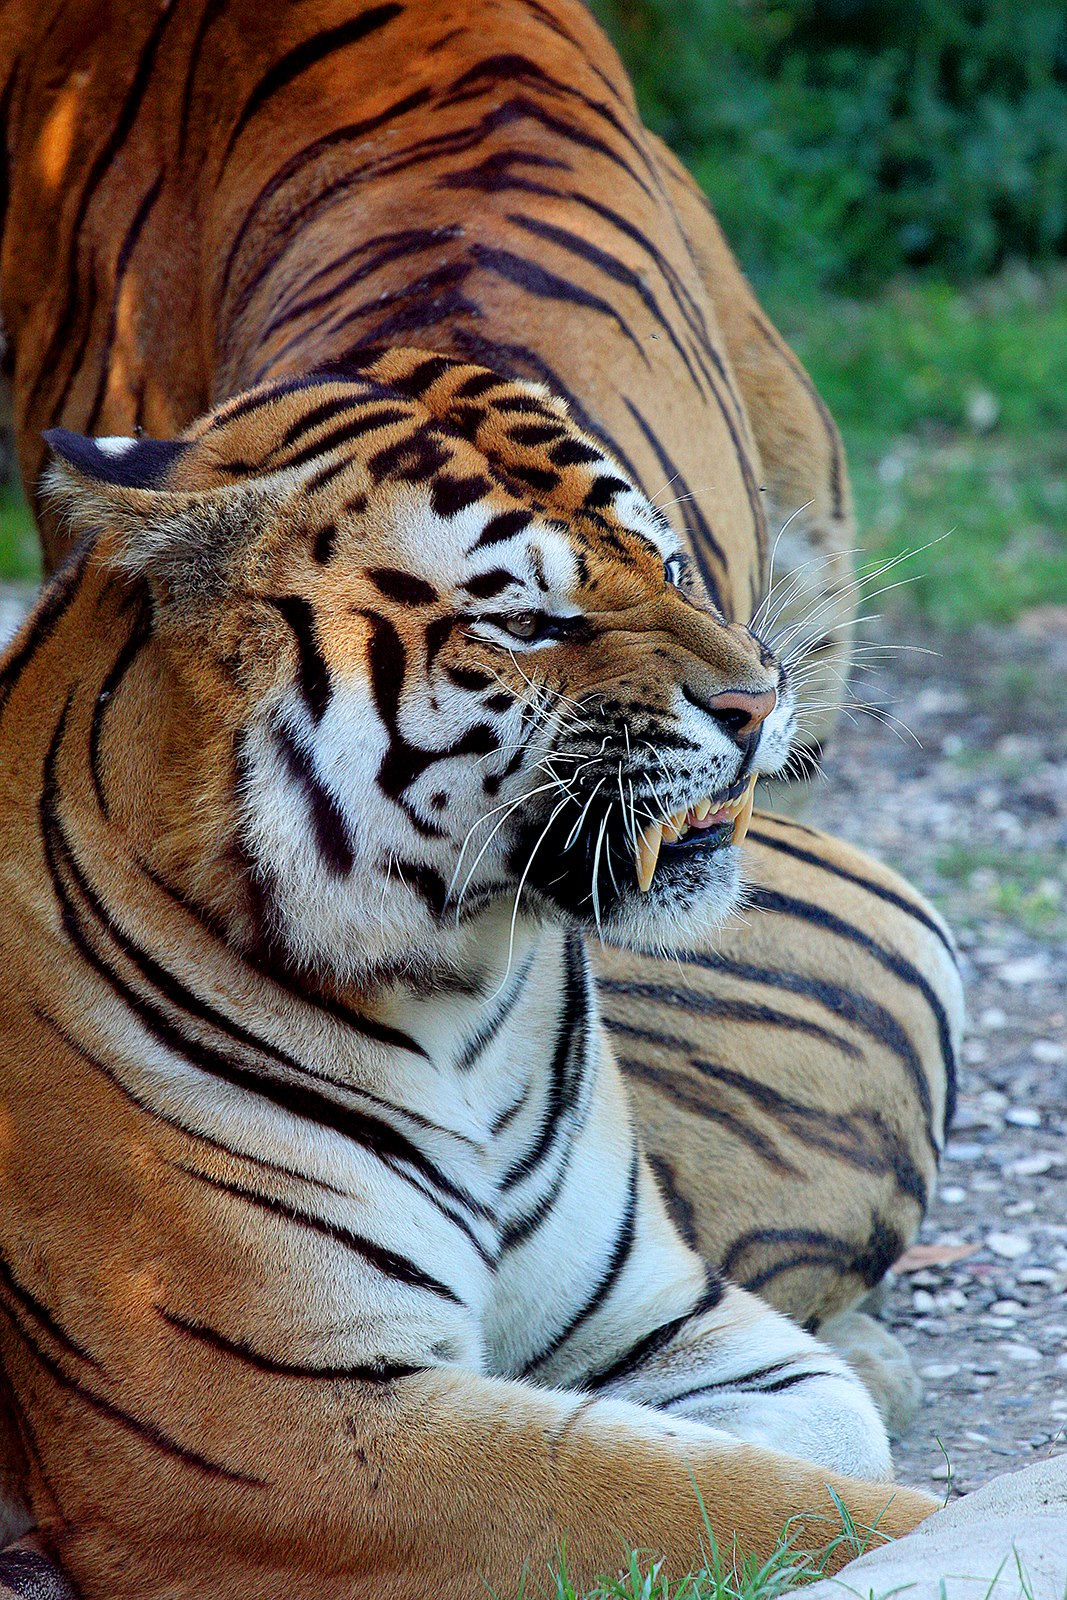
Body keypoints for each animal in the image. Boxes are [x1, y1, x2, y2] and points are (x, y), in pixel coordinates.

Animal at [0, 1, 963, 1596]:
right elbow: (694, 1500)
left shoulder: (667, 1323)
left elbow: (785, 1453)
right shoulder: (269, 1424)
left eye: (669, 563)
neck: (464, 987)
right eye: (524, 620)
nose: (750, 703)